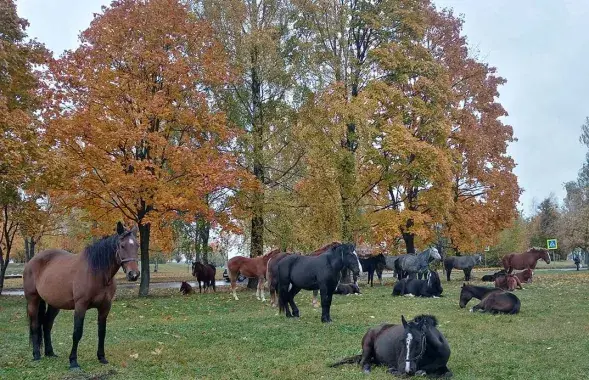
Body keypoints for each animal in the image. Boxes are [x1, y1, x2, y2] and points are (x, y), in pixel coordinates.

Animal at [23, 221, 140, 370]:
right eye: (122, 245)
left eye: (137, 245)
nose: (134, 274)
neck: (97, 272)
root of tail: (32, 261)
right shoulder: (80, 306)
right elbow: (77, 332)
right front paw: (73, 361)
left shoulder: (105, 307)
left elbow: (102, 332)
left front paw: (101, 357)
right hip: (33, 300)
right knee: (35, 326)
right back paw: (36, 355)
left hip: (54, 304)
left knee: (47, 325)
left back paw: (50, 353)